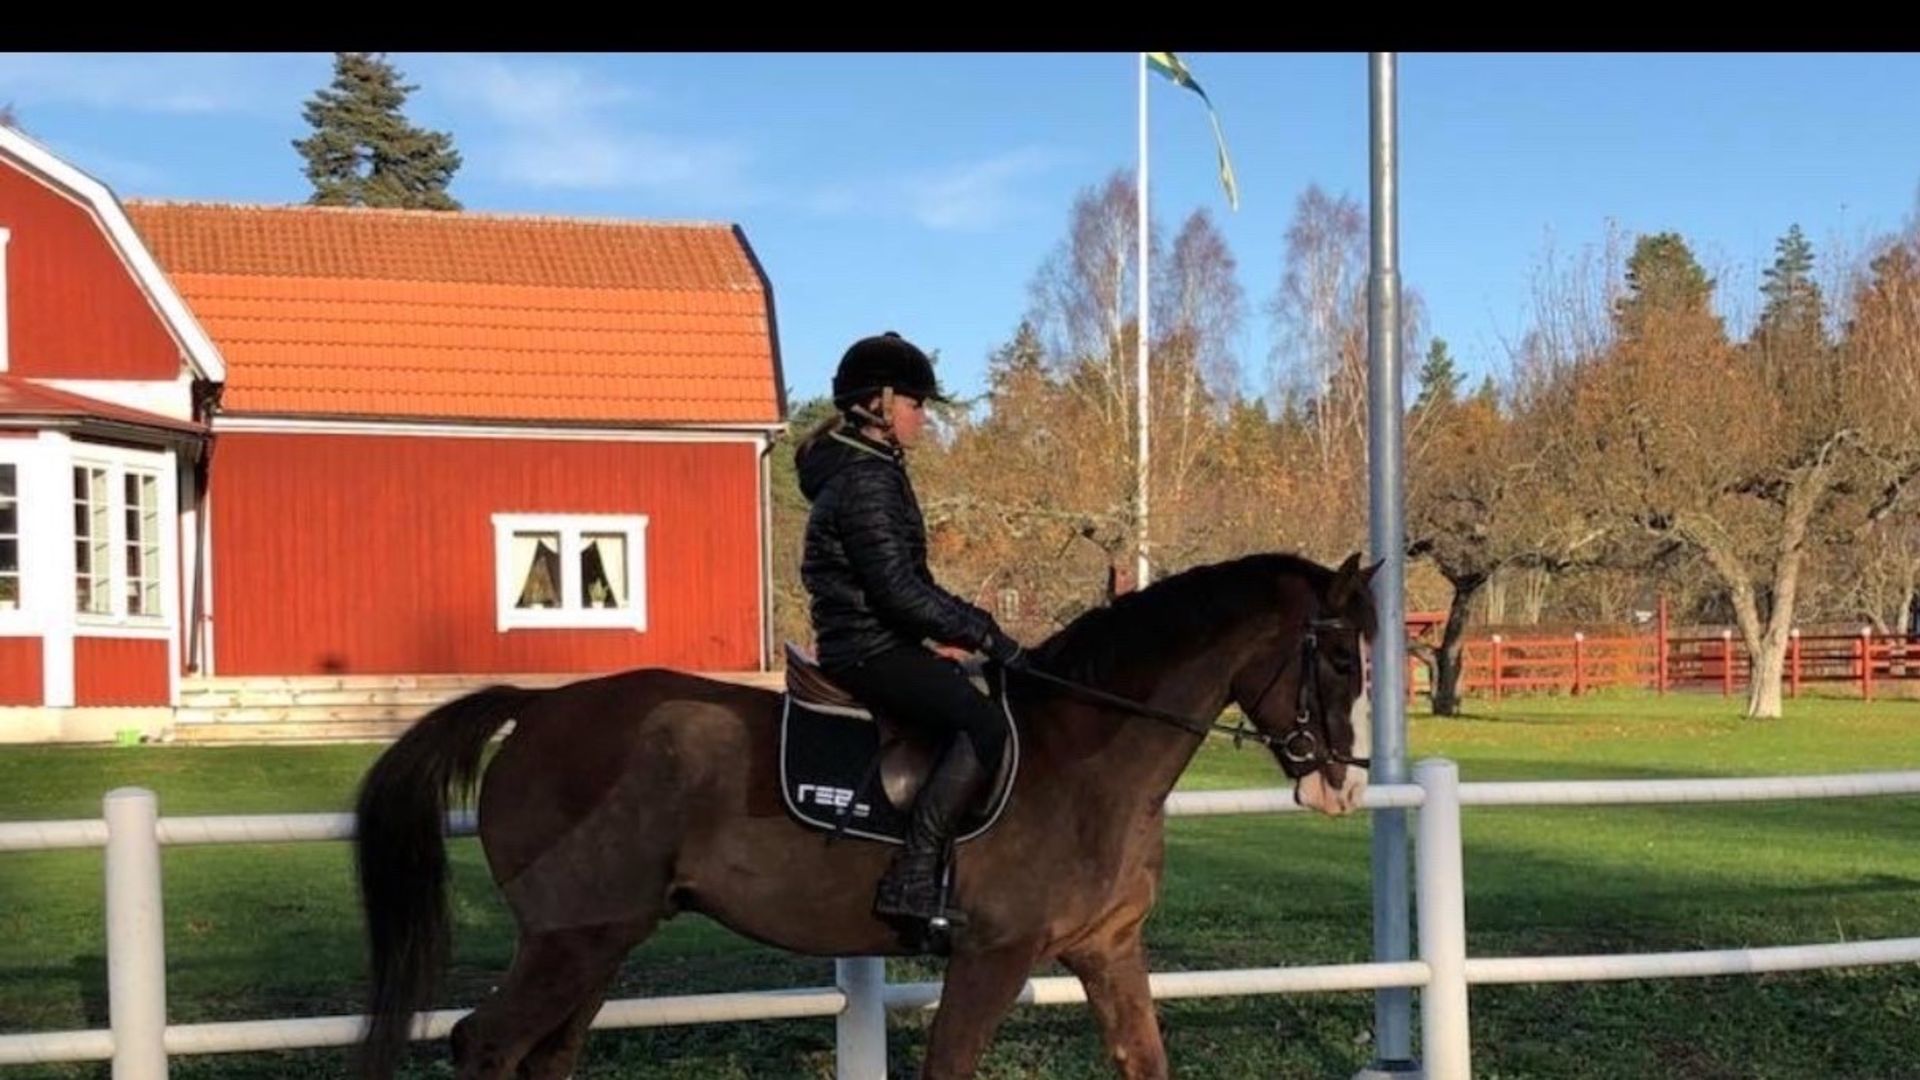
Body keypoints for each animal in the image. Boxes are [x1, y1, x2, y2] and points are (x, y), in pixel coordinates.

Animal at [349, 549, 1382, 1076]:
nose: (1342, 784)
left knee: (545, 1054)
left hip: (600, 941)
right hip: (573, 938)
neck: (1087, 758)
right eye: (1339, 658)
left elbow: (1145, 1061)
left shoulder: (1108, 952)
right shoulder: (991, 956)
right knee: (487, 1044)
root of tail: (534, 707)